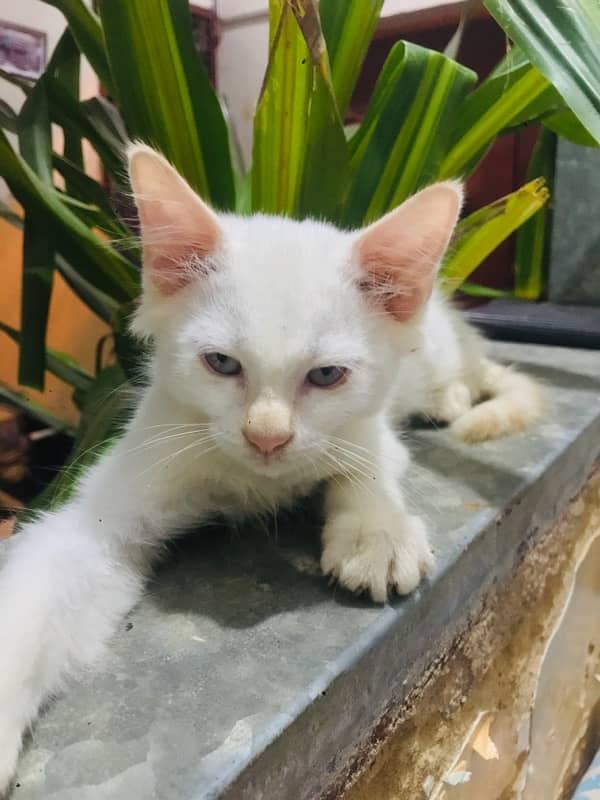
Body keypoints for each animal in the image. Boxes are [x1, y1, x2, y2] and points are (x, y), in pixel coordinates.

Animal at [0, 145, 544, 792]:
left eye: (327, 375)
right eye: (220, 364)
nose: (267, 437)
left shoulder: (371, 429)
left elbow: (367, 464)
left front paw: (378, 533)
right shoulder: (111, 503)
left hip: (434, 351)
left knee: (475, 371)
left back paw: (454, 401)